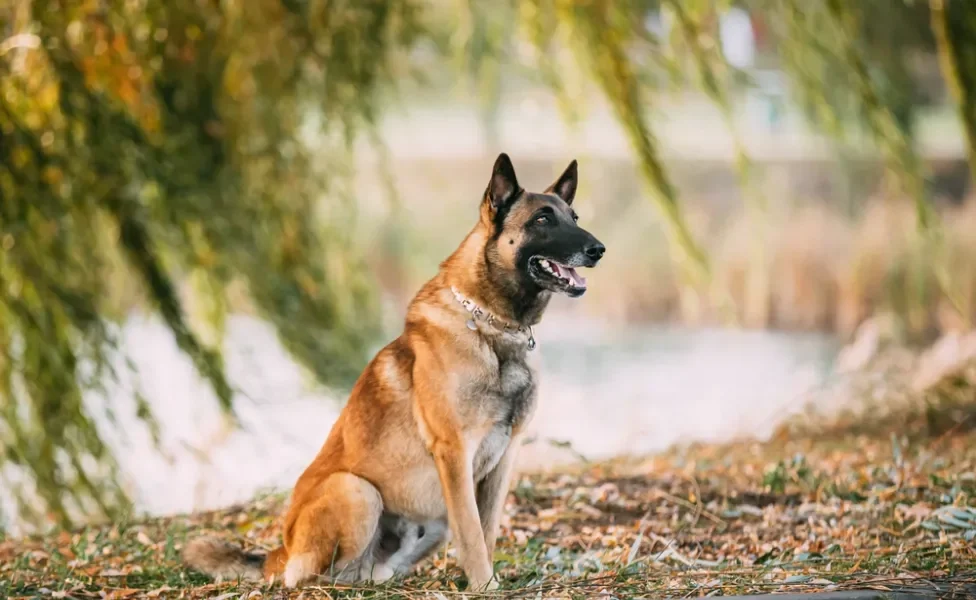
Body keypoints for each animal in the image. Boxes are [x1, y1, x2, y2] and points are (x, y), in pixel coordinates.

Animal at [183, 152, 604, 588]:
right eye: (542, 219)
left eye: (573, 216)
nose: (598, 249)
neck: (491, 327)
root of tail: (278, 552)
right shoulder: (454, 454)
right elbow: (472, 533)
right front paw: (485, 587)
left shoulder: (504, 458)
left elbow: (487, 531)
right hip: (357, 490)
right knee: (305, 577)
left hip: (425, 524)